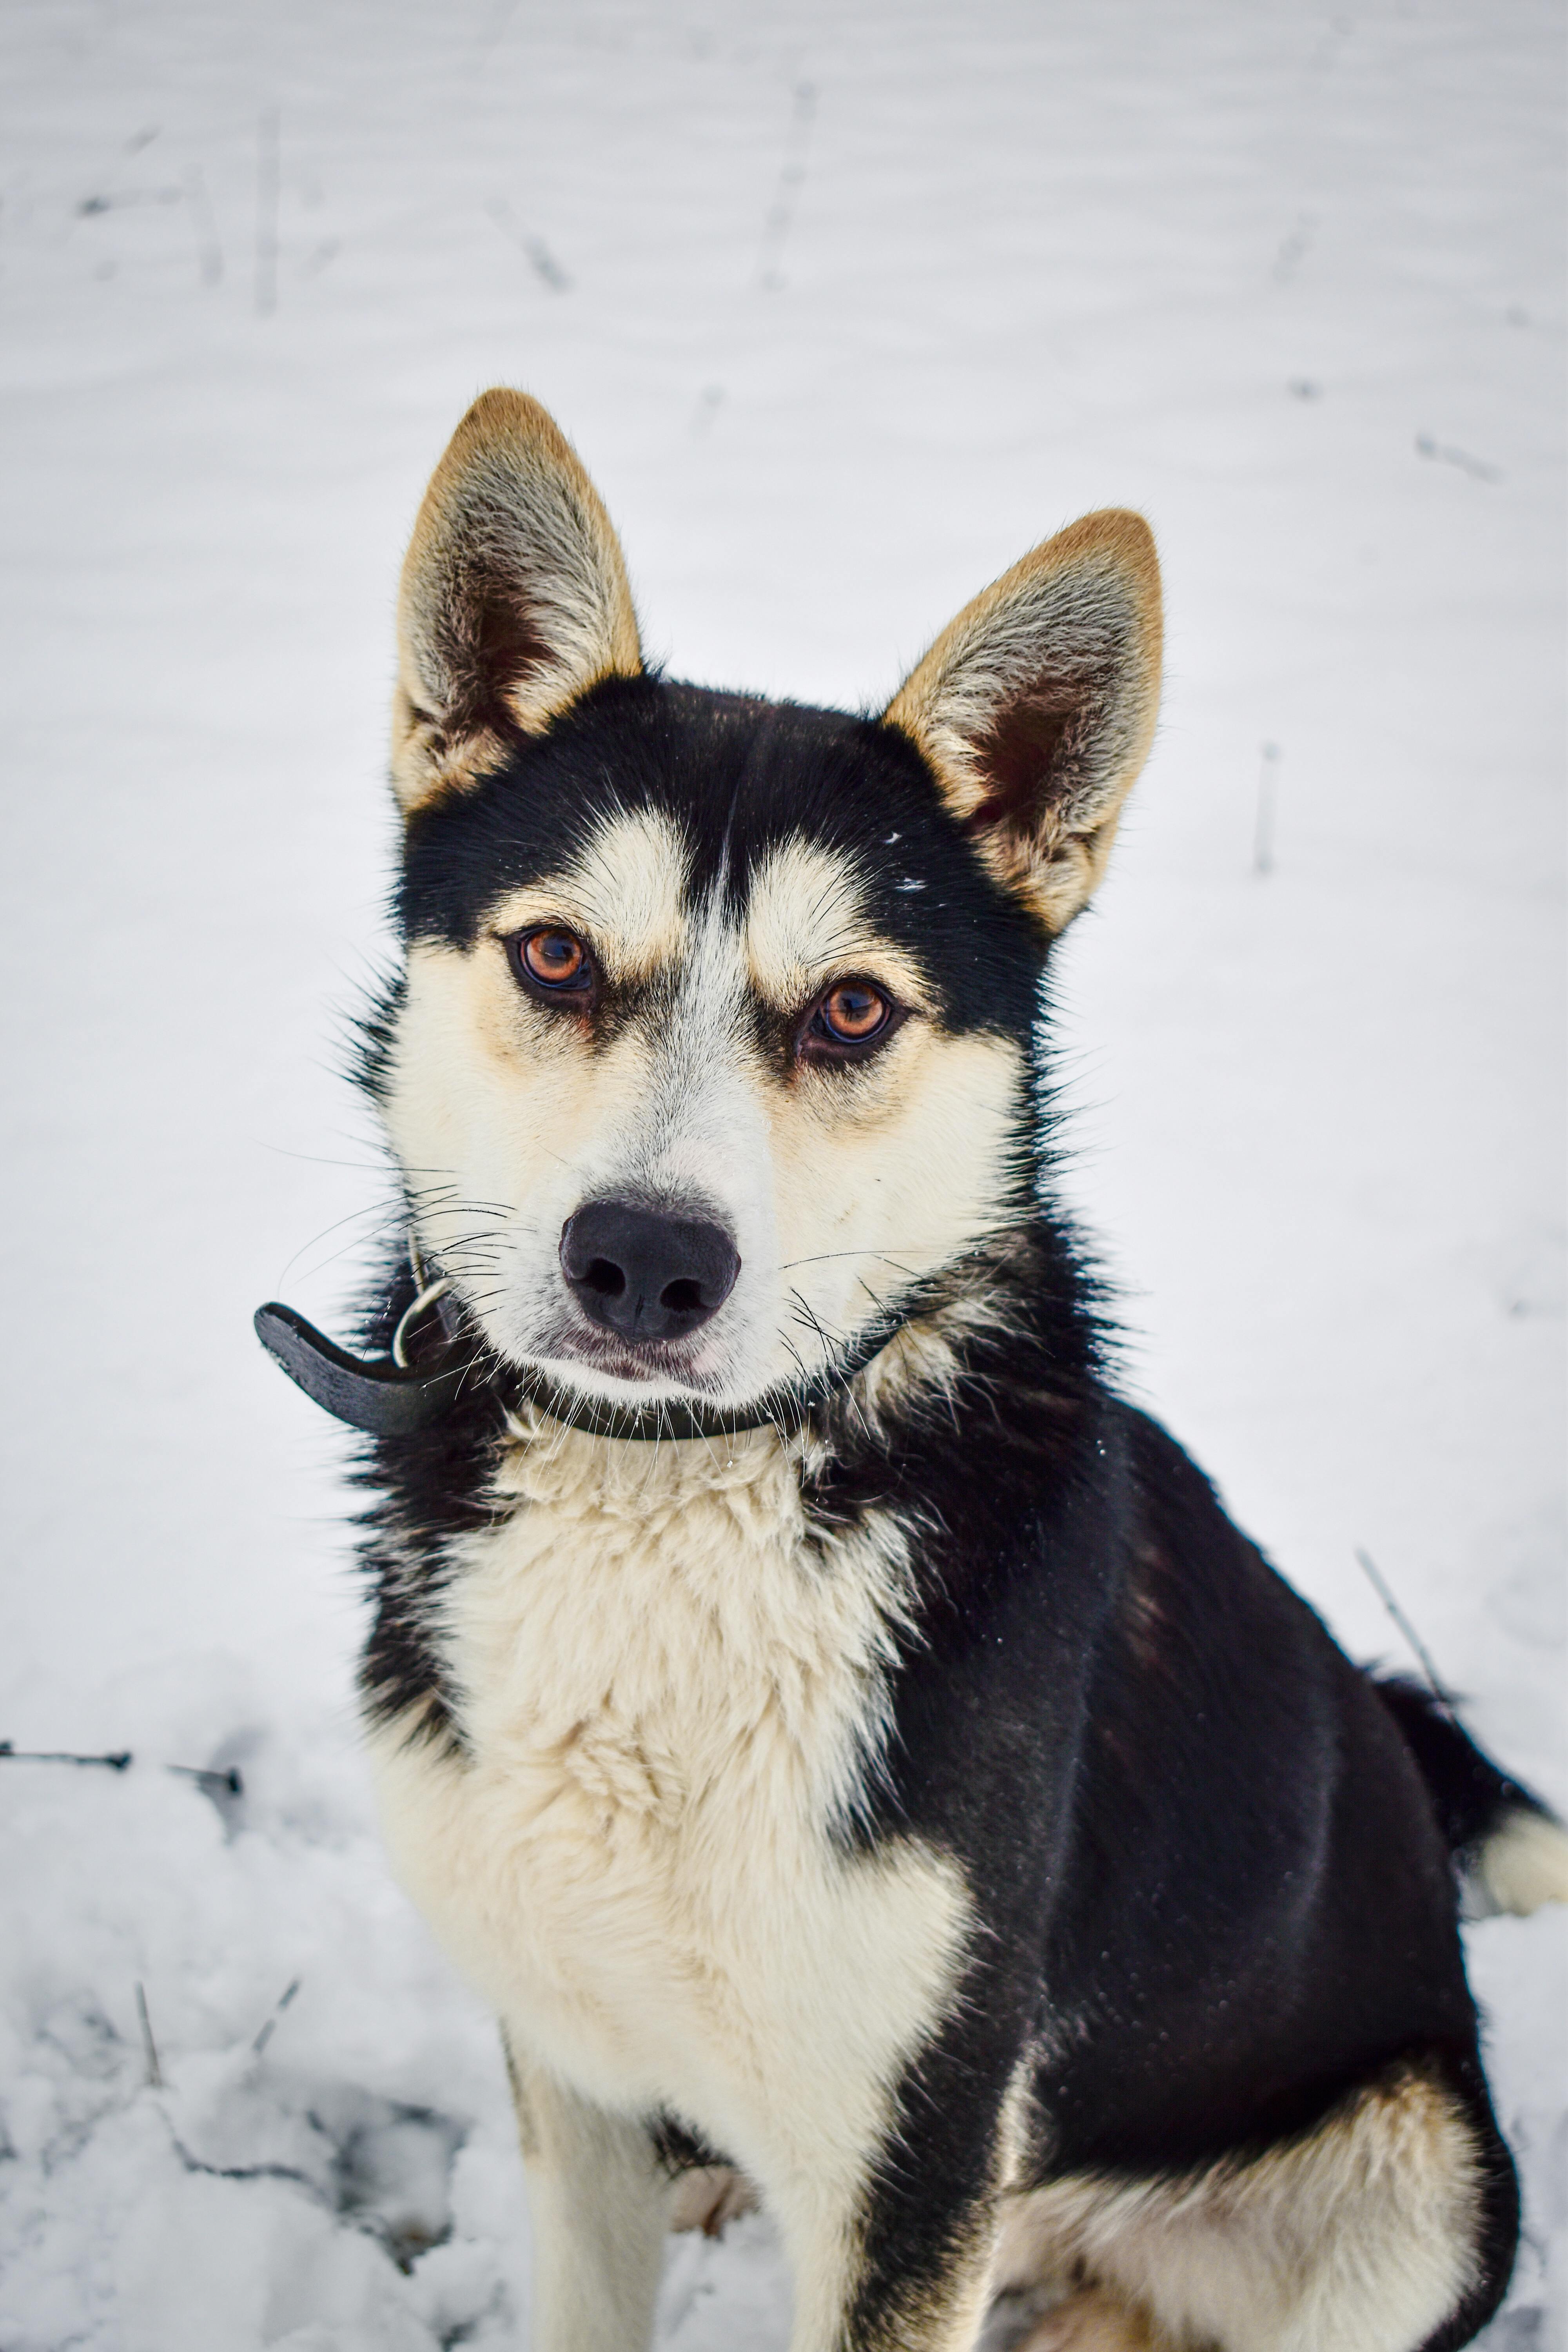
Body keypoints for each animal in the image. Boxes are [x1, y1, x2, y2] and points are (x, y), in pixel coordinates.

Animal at [263, 395, 1568, 2343]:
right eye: (555, 954)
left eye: (855, 1009)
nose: (644, 1262)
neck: (668, 1509)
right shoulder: (572, 2081)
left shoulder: (922, 2145)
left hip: (1411, 2183)